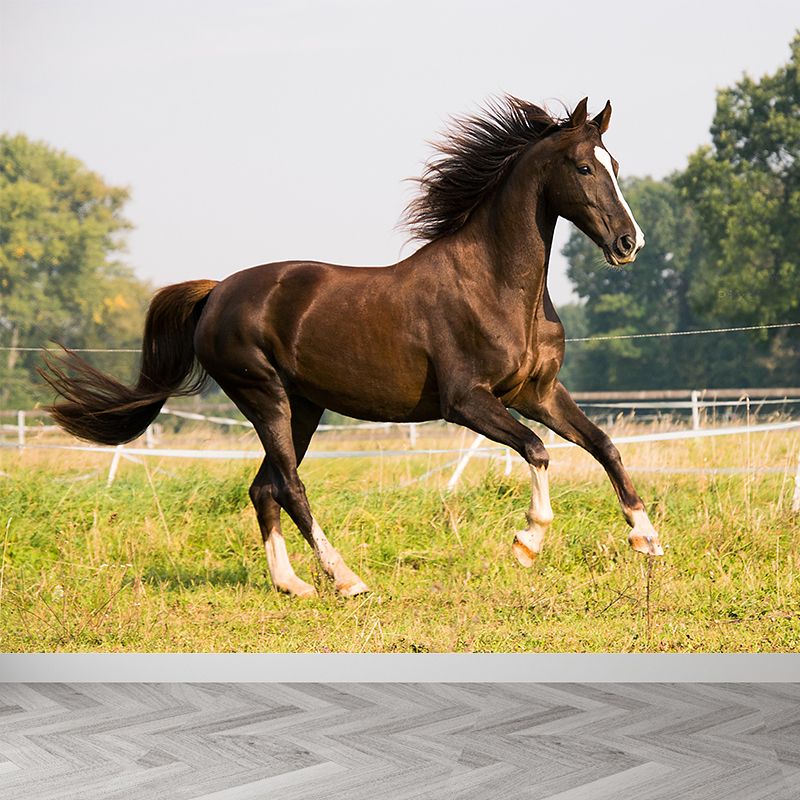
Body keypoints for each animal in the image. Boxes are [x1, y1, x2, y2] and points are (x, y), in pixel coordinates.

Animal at [40, 96, 663, 599]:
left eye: (614, 165)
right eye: (583, 166)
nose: (628, 243)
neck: (496, 286)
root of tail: (216, 292)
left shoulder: (537, 392)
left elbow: (604, 444)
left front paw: (647, 538)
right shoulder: (467, 402)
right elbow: (537, 450)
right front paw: (527, 542)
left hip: (304, 406)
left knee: (263, 487)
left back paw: (292, 584)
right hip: (263, 395)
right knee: (289, 486)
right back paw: (346, 579)